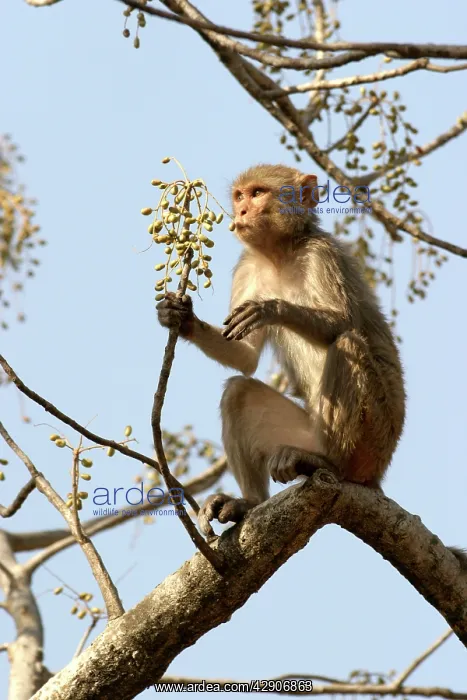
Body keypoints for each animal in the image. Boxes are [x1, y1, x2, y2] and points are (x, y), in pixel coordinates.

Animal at [157, 163, 408, 536]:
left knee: (347, 342)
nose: (241, 212)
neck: (279, 254)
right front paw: (181, 317)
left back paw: (331, 463)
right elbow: (244, 357)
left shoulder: (321, 254)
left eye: (258, 193)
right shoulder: (247, 266)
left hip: (372, 440)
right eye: (240, 196)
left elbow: (345, 321)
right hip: (305, 432)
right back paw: (251, 502)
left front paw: (272, 308)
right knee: (238, 392)